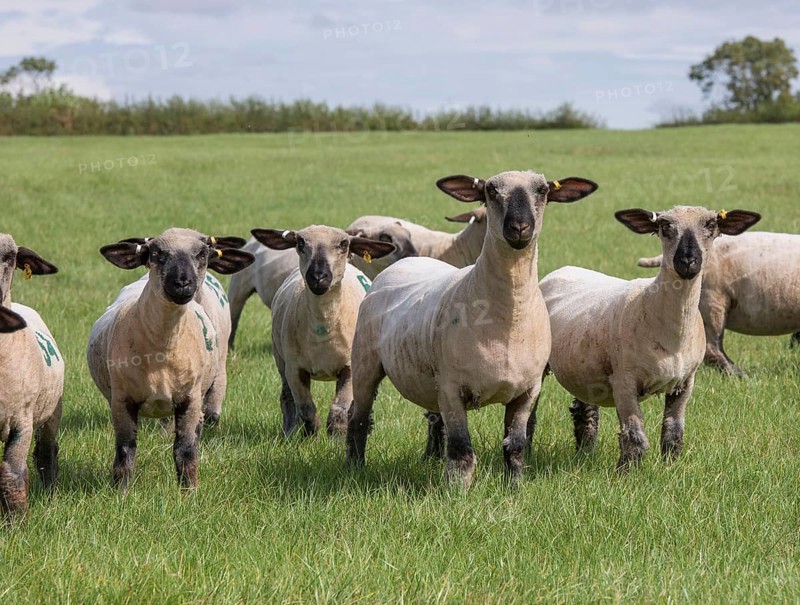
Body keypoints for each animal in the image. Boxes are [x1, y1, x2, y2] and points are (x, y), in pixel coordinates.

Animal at [87, 229, 254, 490]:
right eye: (156, 253)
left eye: (203, 253)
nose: (183, 283)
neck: (161, 349)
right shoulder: (122, 400)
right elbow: (125, 450)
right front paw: (121, 492)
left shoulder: (190, 399)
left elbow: (185, 449)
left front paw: (189, 491)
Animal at [250, 226, 396, 436]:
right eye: (300, 242)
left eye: (344, 244)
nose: (318, 277)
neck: (323, 328)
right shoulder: (294, 369)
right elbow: (306, 409)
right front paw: (310, 436)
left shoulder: (349, 367)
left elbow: (339, 411)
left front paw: (337, 437)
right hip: (280, 358)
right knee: (287, 398)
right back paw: (289, 432)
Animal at [538, 207, 760, 471]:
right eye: (664, 226)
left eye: (710, 224)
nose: (688, 261)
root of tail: (565, 269)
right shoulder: (624, 382)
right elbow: (635, 437)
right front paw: (626, 473)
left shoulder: (686, 381)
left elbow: (673, 433)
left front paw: (670, 469)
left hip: (585, 367)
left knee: (585, 412)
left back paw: (585, 454)